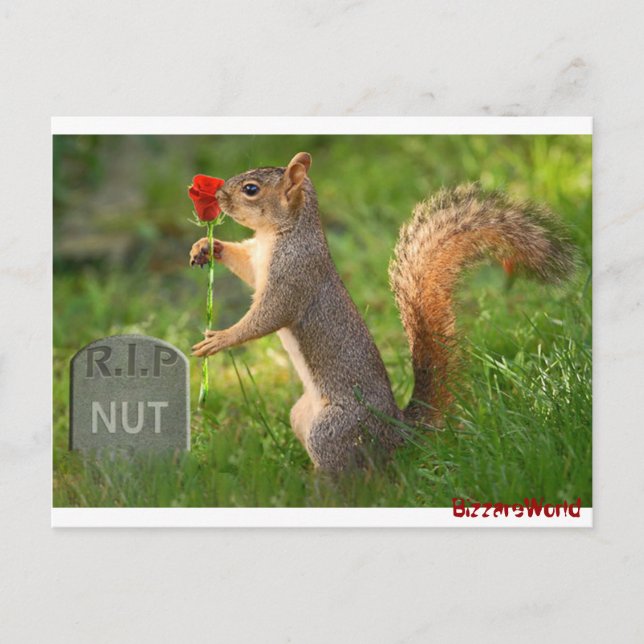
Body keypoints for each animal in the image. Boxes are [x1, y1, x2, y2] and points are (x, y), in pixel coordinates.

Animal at [190, 152, 576, 471]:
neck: (278, 235)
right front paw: (207, 246)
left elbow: (268, 317)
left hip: (333, 431)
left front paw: (220, 339)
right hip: (302, 417)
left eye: (251, 189)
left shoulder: (295, 276)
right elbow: (245, 267)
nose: (218, 194)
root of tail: (396, 431)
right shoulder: (257, 261)